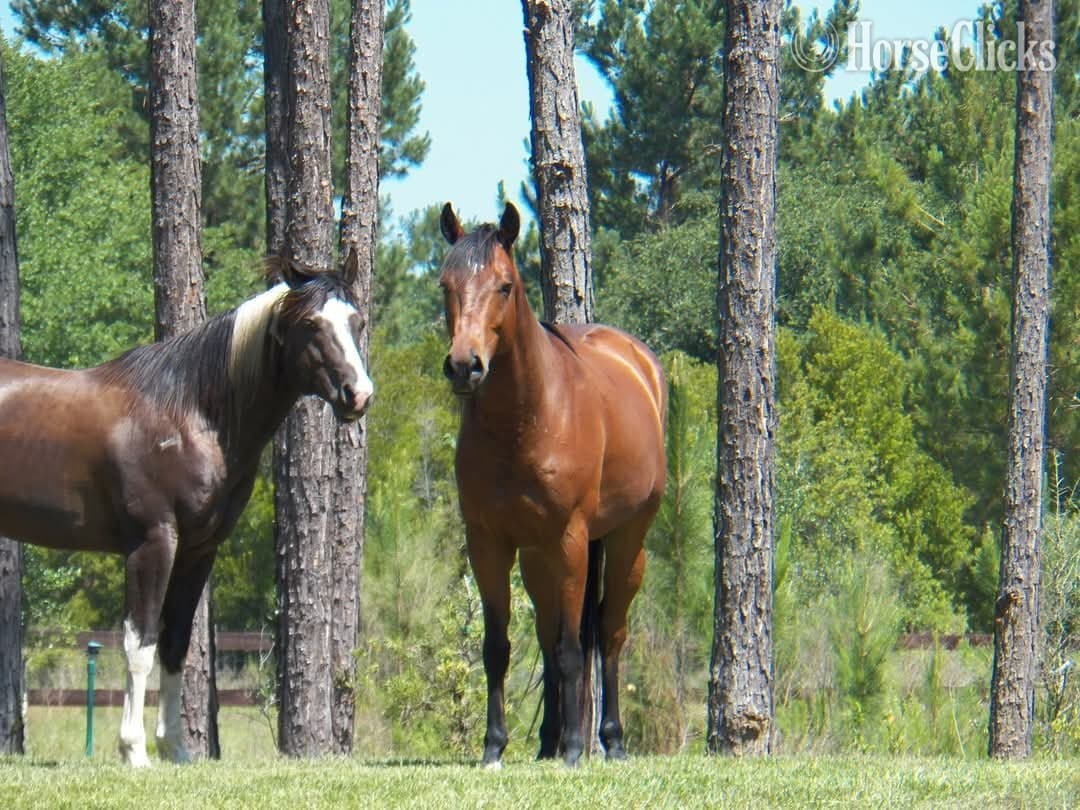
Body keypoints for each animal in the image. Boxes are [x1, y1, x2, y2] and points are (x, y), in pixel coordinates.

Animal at [0, 252, 373, 766]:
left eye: (357, 321)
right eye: (313, 323)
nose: (359, 395)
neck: (189, 415)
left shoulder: (199, 551)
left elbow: (175, 644)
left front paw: (175, 749)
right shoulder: (153, 542)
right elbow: (139, 644)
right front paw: (134, 750)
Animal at [438, 203, 666, 767]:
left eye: (503, 286)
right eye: (445, 285)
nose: (464, 366)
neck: (526, 421)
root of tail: (639, 362)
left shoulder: (569, 539)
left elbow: (571, 647)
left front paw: (575, 751)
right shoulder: (489, 542)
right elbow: (497, 647)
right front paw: (494, 746)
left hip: (626, 541)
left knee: (607, 633)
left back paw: (608, 740)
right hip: (538, 555)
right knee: (547, 633)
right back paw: (547, 742)